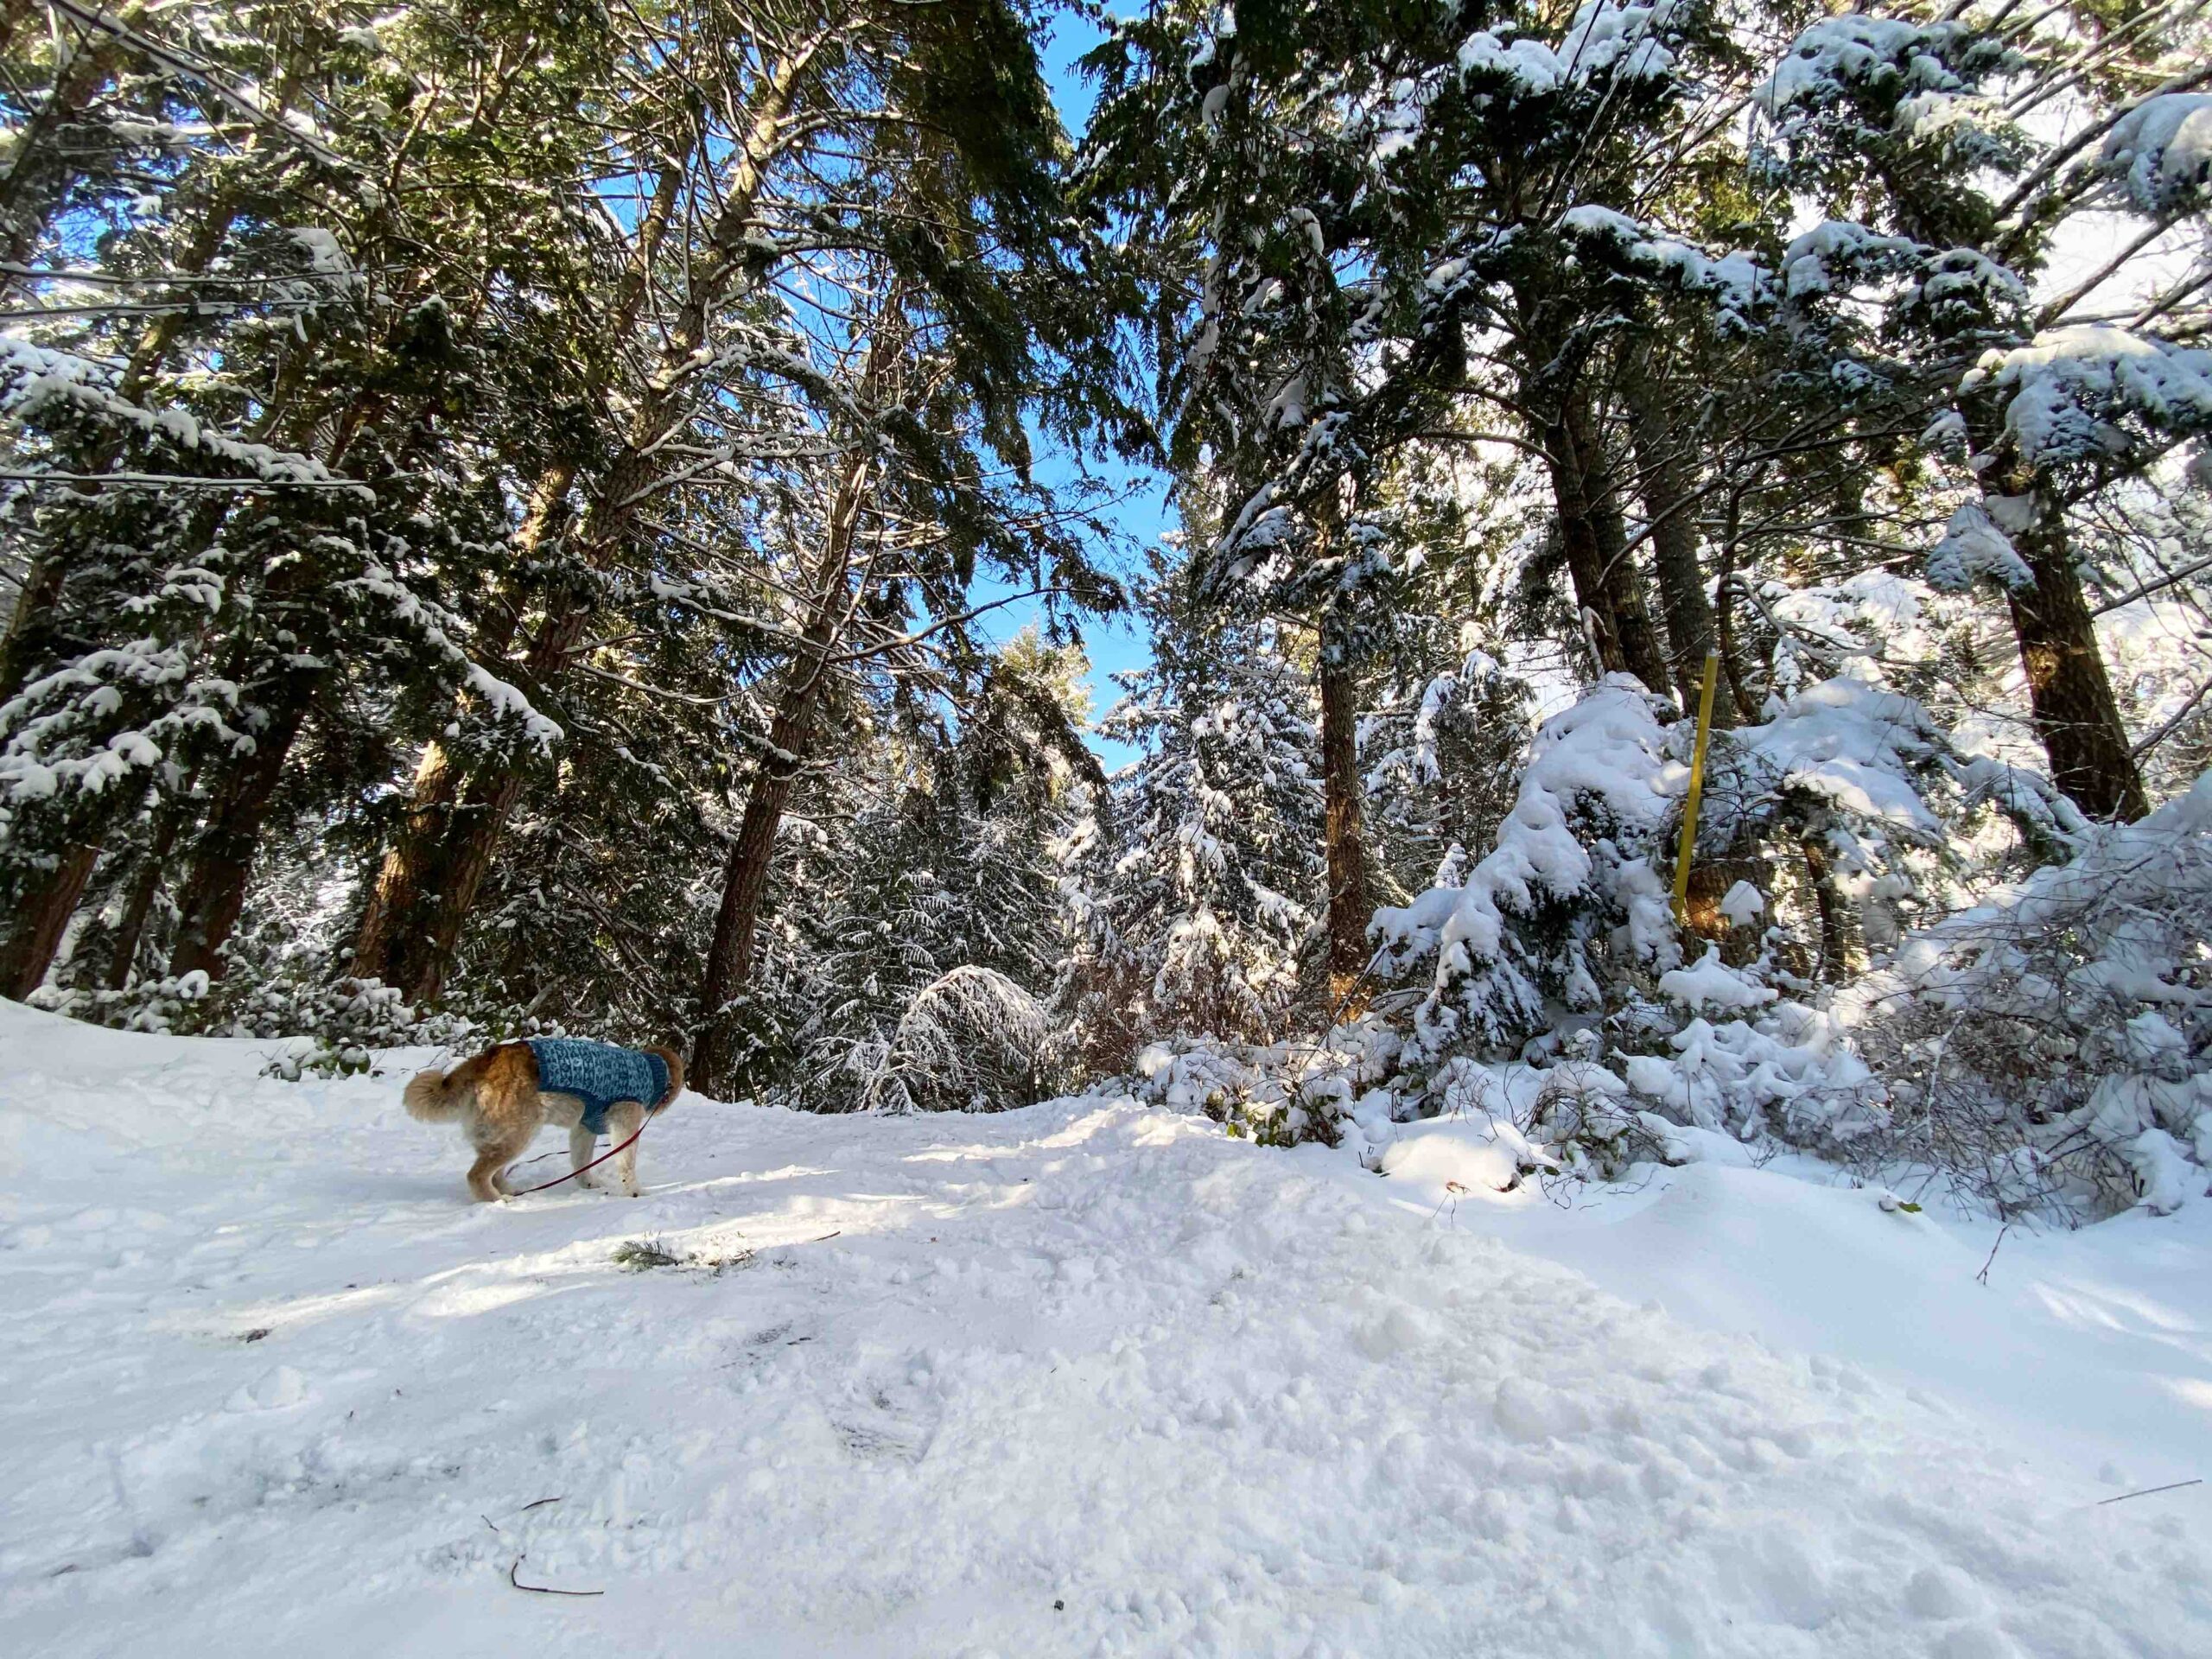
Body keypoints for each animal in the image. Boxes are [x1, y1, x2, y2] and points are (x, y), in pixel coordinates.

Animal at [404, 1044, 681, 1203]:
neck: (654, 1070)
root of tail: (486, 1060)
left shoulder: (583, 1128)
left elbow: (581, 1161)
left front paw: (588, 1185)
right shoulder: (625, 1122)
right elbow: (626, 1163)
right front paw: (635, 1192)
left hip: (502, 1137)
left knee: (494, 1172)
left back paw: (509, 1192)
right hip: (519, 1133)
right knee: (477, 1175)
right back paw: (498, 1201)